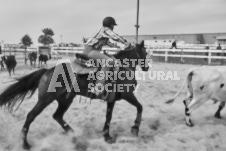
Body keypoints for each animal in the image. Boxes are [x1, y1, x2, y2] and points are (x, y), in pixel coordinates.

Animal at [0, 40, 149, 149]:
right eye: (145, 53)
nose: (147, 67)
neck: (123, 68)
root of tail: (46, 71)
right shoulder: (127, 95)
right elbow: (140, 107)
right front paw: (135, 129)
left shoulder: (111, 99)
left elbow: (109, 117)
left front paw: (107, 137)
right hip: (45, 99)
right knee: (31, 115)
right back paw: (25, 144)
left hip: (65, 100)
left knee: (57, 116)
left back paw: (73, 134)